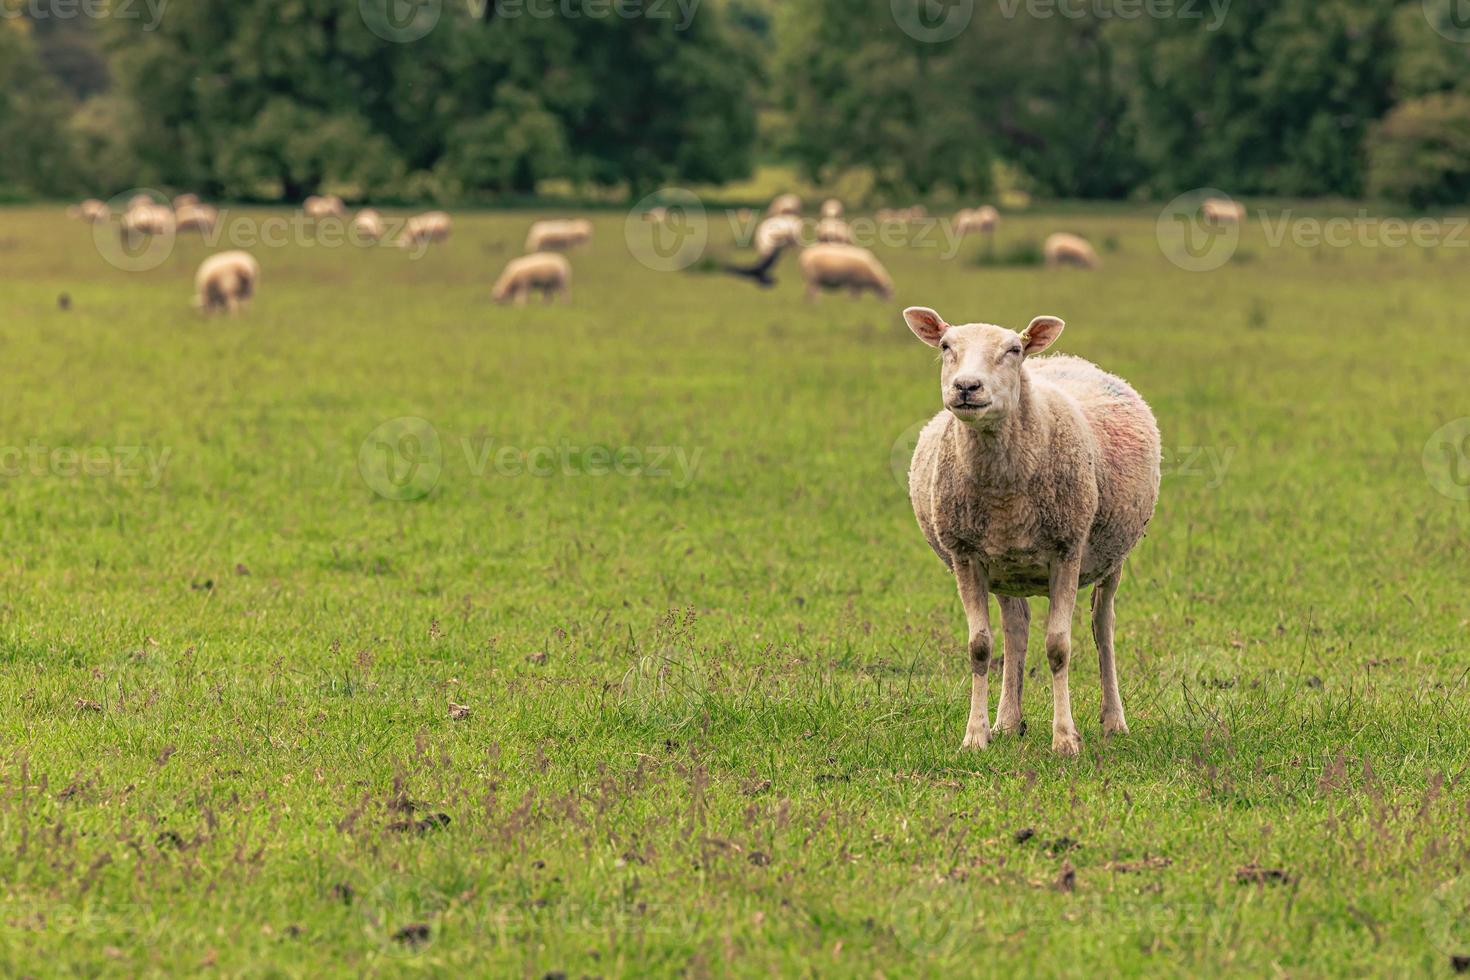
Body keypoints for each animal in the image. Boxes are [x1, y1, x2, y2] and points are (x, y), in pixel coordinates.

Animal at [899, 308, 1164, 758]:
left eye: (1013, 350)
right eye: (946, 346)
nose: (966, 386)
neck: (1004, 492)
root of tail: (1067, 358)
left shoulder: (1067, 549)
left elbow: (1059, 647)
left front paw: (1065, 739)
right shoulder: (966, 555)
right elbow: (980, 647)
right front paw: (975, 736)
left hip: (1111, 555)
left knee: (1103, 626)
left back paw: (1114, 721)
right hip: (1008, 566)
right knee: (1016, 628)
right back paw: (1008, 721)